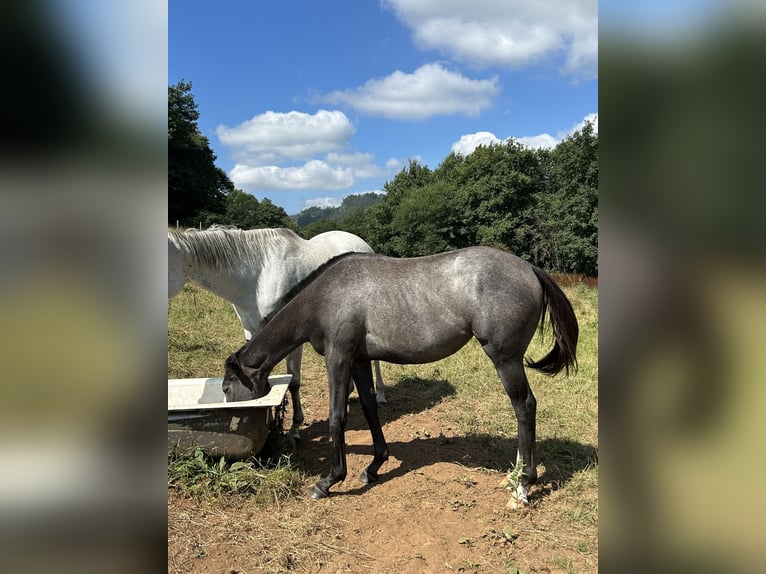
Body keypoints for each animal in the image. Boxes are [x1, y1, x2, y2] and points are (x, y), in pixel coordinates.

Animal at [225, 248, 580, 504]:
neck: (326, 296)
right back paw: (514, 476)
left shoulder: (339, 358)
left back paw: (523, 485)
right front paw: (373, 467)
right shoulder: (359, 360)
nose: (232, 416)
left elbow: (337, 417)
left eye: (227, 387)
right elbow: (369, 409)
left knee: (525, 407)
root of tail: (530, 268)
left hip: (506, 359)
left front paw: (328, 480)